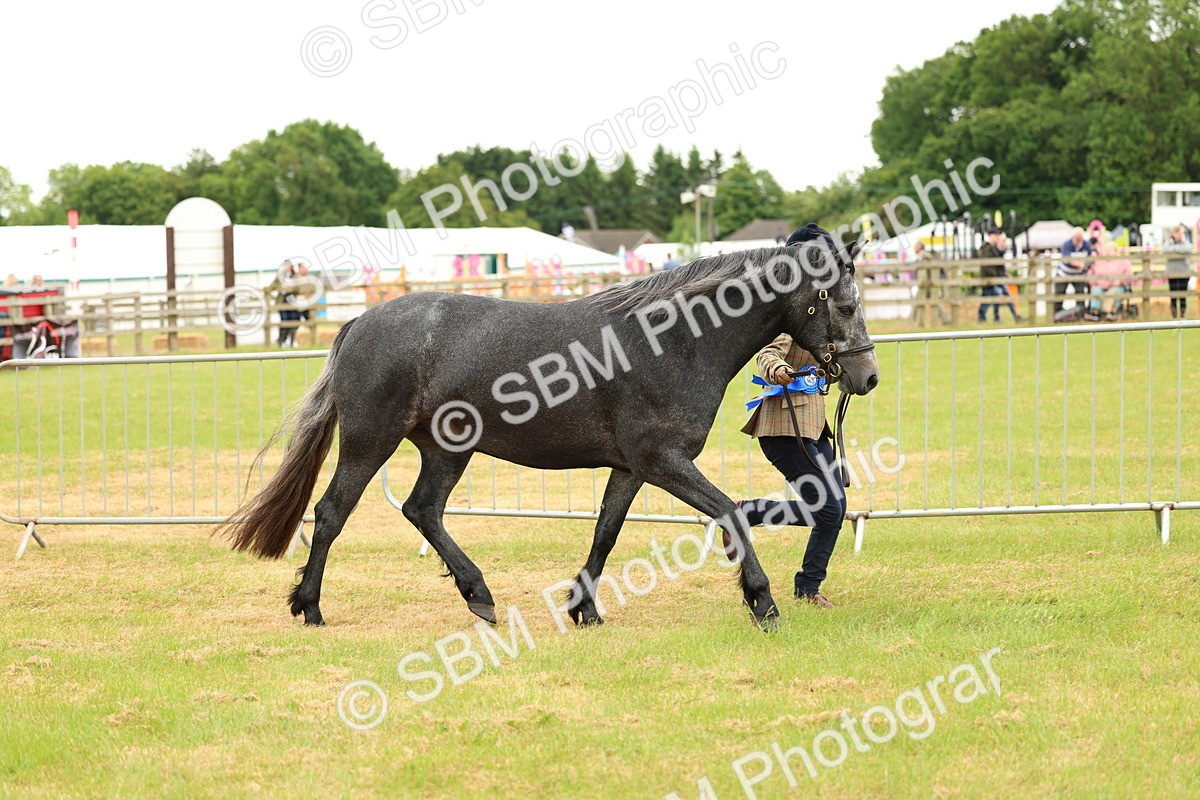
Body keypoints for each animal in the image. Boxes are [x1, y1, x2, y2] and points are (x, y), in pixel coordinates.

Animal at [218, 239, 879, 630]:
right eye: (844, 303)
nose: (867, 376)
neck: (673, 340)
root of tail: (359, 322)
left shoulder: (631, 468)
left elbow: (606, 534)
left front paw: (583, 608)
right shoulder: (663, 460)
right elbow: (730, 513)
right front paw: (762, 601)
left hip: (446, 450)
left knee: (422, 509)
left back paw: (480, 596)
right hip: (368, 442)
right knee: (332, 513)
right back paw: (309, 607)